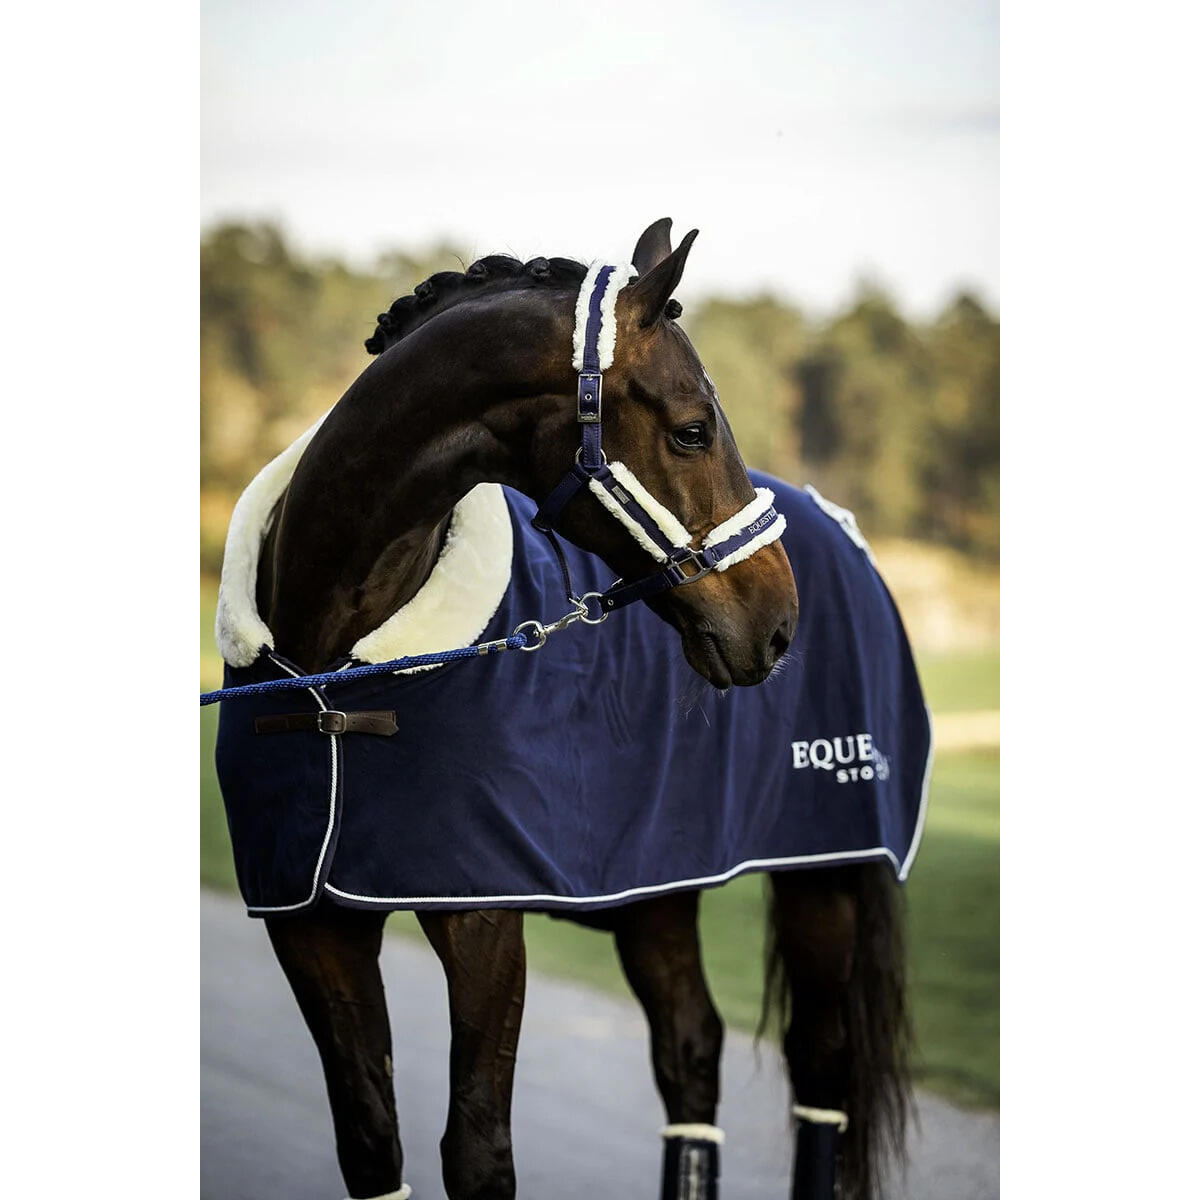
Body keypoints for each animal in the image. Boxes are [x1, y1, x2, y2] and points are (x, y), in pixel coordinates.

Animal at [211, 219, 926, 1200]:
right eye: (693, 430)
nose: (778, 623)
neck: (330, 687)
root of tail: (847, 535)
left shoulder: (480, 921)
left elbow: (478, 1151)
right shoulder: (311, 925)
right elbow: (371, 1141)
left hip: (823, 875)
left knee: (817, 1068)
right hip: (659, 883)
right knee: (690, 1049)